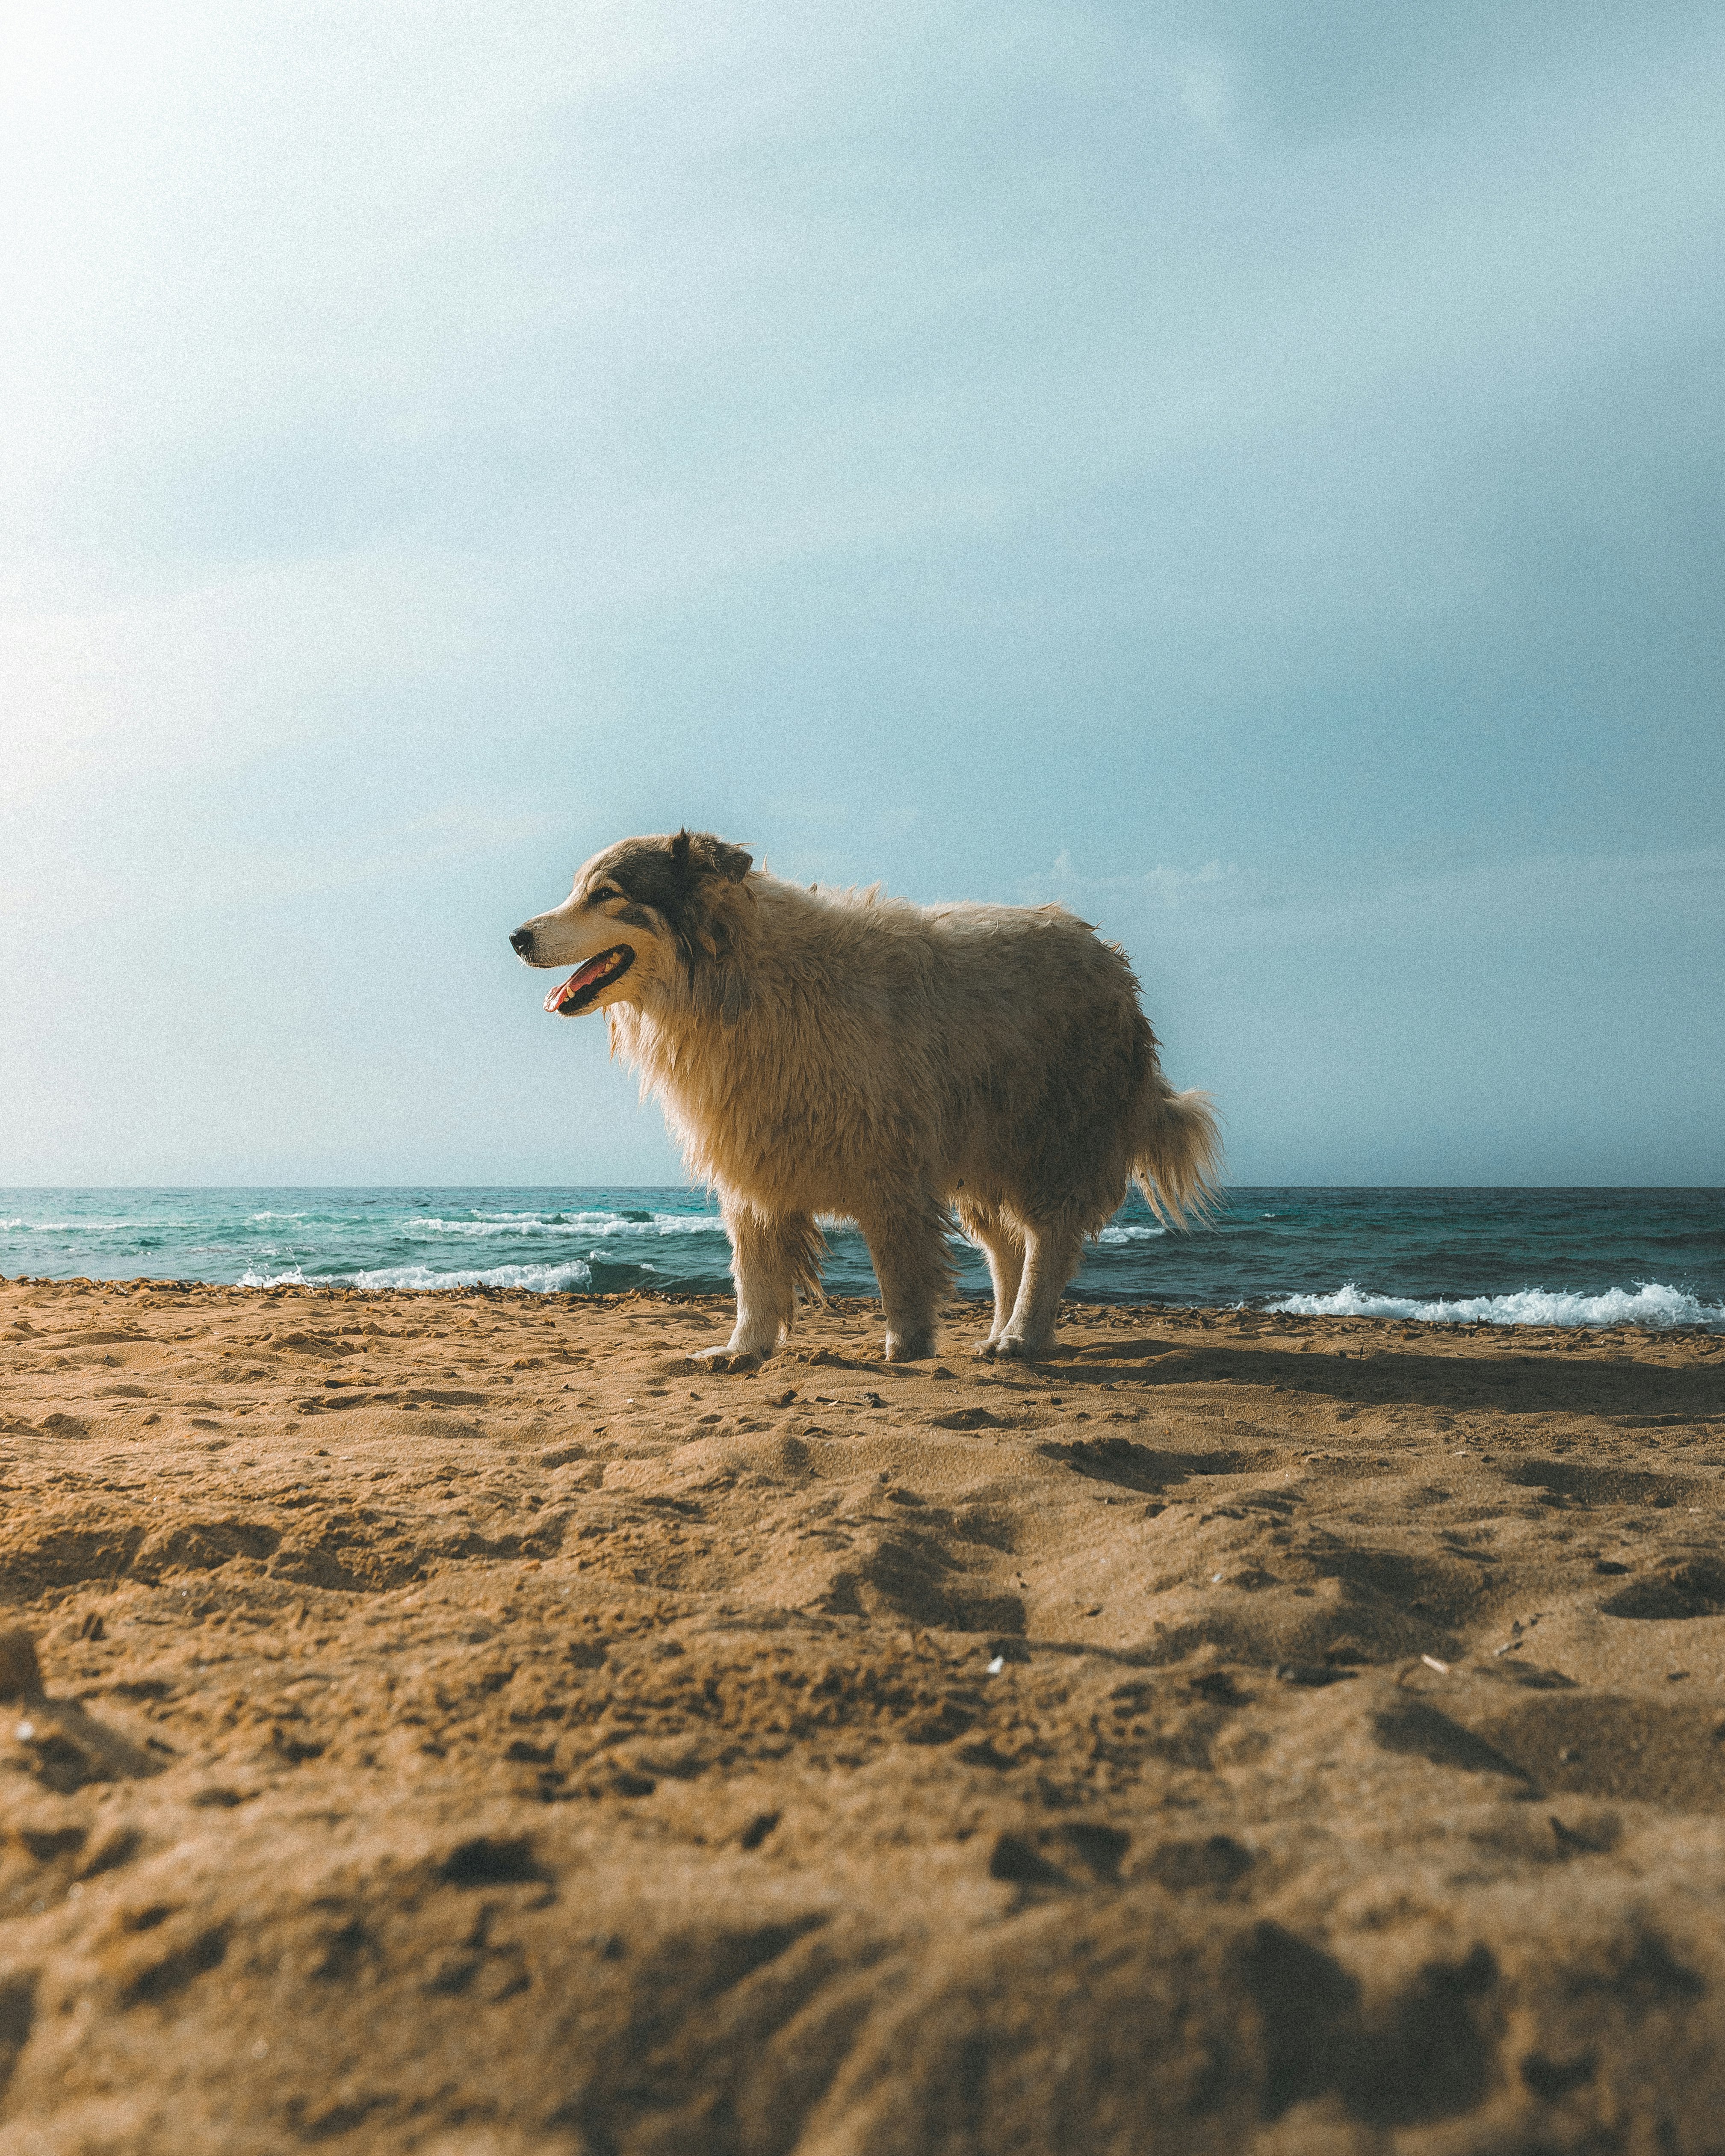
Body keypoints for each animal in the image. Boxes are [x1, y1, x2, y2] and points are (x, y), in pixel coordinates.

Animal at [504, 828, 1216, 1362]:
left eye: (604, 895)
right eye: (577, 891)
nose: (517, 937)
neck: (738, 975)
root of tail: (1110, 959)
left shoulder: (886, 1161)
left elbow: (897, 1266)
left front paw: (907, 1345)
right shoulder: (754, 1152)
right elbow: (753, 1271)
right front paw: (743, 1349)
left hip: (1054, 1137)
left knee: (1047, 1241)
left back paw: (1021, 1335)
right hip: (983, 1151)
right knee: (1004, 1249)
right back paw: (996, 1333)